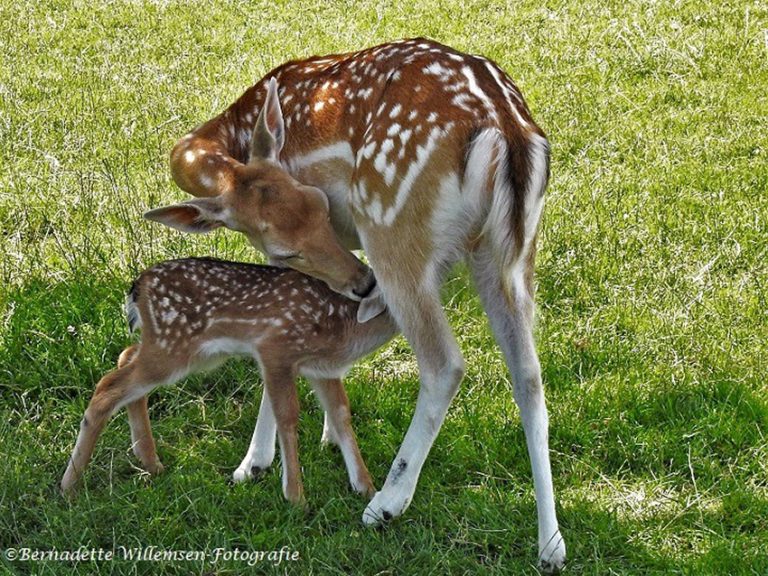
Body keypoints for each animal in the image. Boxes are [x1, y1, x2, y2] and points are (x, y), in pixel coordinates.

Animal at [166, 38, 564, 568]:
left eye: (320, 204)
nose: (363, 282)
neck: (231, 131)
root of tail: (507, 129)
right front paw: (326, 432)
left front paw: (253, 464)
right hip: (510, 254)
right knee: (530, 376)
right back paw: (551, 544)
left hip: (392, 227)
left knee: (445, 364)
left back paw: (385, 503)